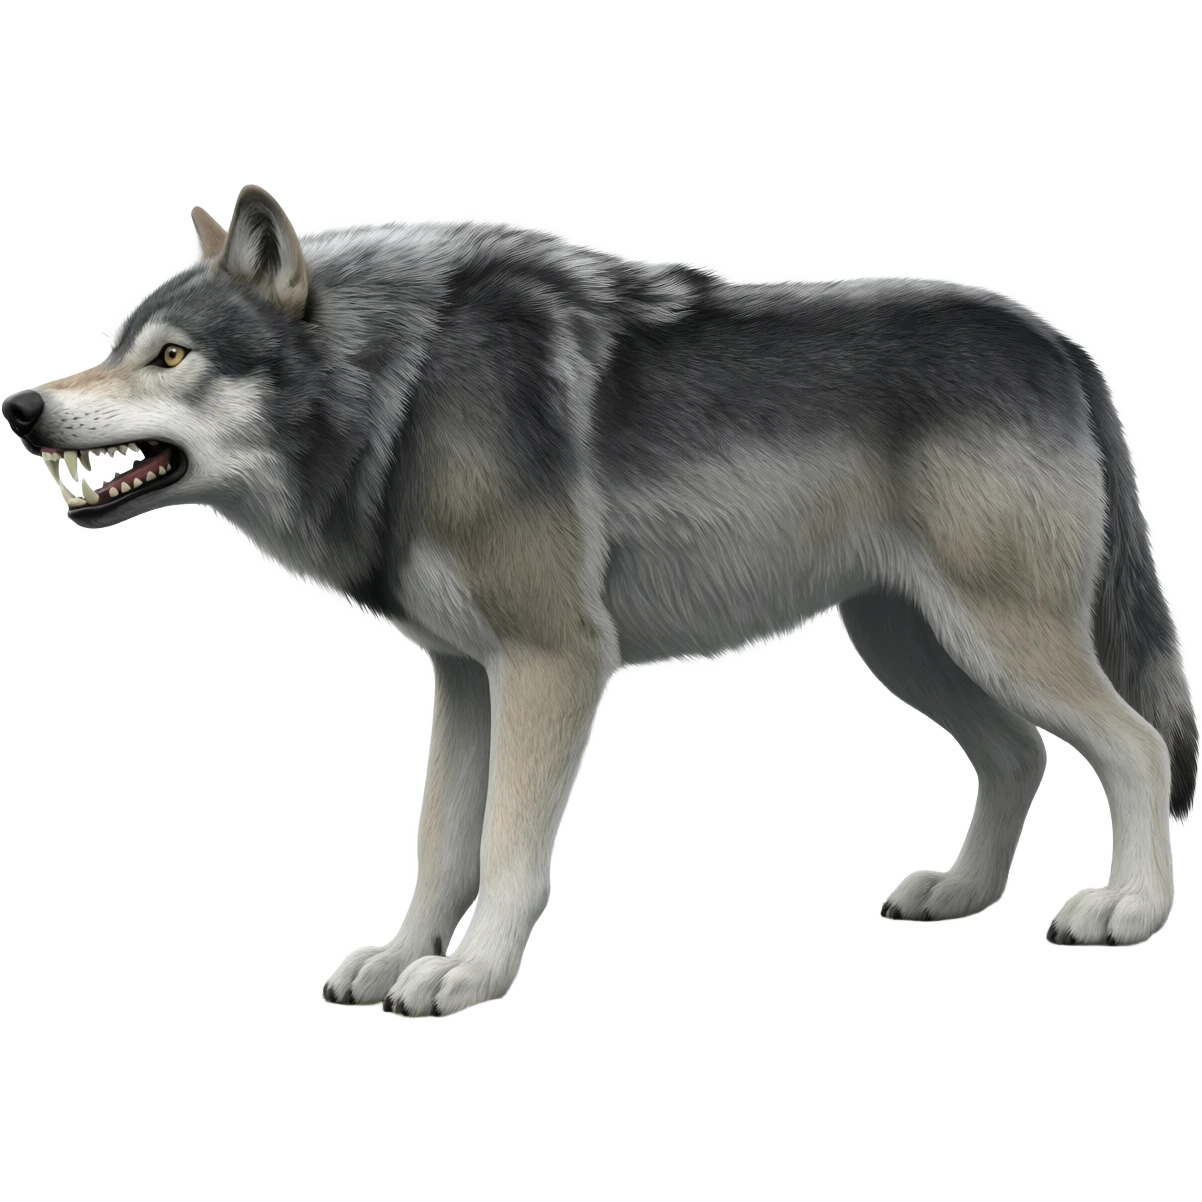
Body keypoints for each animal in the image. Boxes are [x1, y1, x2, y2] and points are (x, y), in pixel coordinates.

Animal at [3, 188, 1196, 1009]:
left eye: (171, 357)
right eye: (113, 346)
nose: (22, 405)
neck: (403, 389)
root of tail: (1063, 345)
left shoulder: (553, 661)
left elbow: (506, 847)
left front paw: (471, 974)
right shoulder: (464, 675)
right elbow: (440, 845)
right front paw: (400, 958)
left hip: (993, 637)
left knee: (1133, 745)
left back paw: (1130, 907)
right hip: (911, 646)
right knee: (1020, 755)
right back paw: (959, 893)